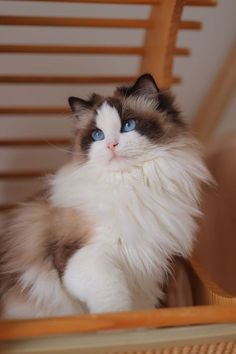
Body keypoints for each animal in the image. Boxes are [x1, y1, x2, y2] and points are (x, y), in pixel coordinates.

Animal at [0, 74, 210, 318]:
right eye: (97, 135)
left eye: (128, 125)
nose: (111, 145)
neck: (130, 184)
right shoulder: (87, 258)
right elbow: (113, 305)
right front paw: (119, 324)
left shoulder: (147, 271)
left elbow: (141, 311)